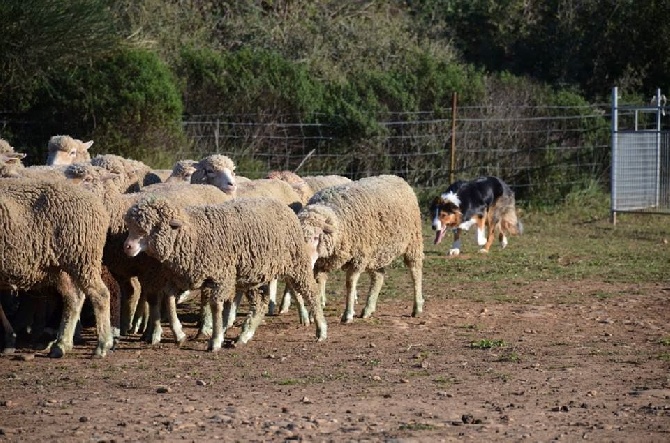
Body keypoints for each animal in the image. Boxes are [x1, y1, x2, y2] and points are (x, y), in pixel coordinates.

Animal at [0, 177, 113, 358]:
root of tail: (98, 204)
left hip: (82, 258)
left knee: (100, 294)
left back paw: (102, 345)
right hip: (60, 268)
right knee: (73, 298)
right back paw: (61, 344)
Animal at [122, 197, 328, 350]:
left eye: (151, 227)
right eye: (130, 227)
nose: (127, 247)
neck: (192, 234)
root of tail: (282, 205)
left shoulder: (220, 276)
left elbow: (215, 306)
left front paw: (215, 340)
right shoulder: (183, 278)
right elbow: (169, 299)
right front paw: (179, 334)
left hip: (296, 263)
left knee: (311, 292)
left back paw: (321, 330)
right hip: (253, 275)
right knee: (260, 302)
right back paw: (244, 336)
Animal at [300, 175, 426, 324]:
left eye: (316, 237)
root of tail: (397, 177)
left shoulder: (358, 257)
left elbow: (350, 283)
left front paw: (348, 314)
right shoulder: (322, 264)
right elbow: (318, 285)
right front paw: (313, 315)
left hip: (413, 241)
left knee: (415, 272)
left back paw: (417, 307)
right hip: (377, 252)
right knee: (378, 277)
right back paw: (368, 309)